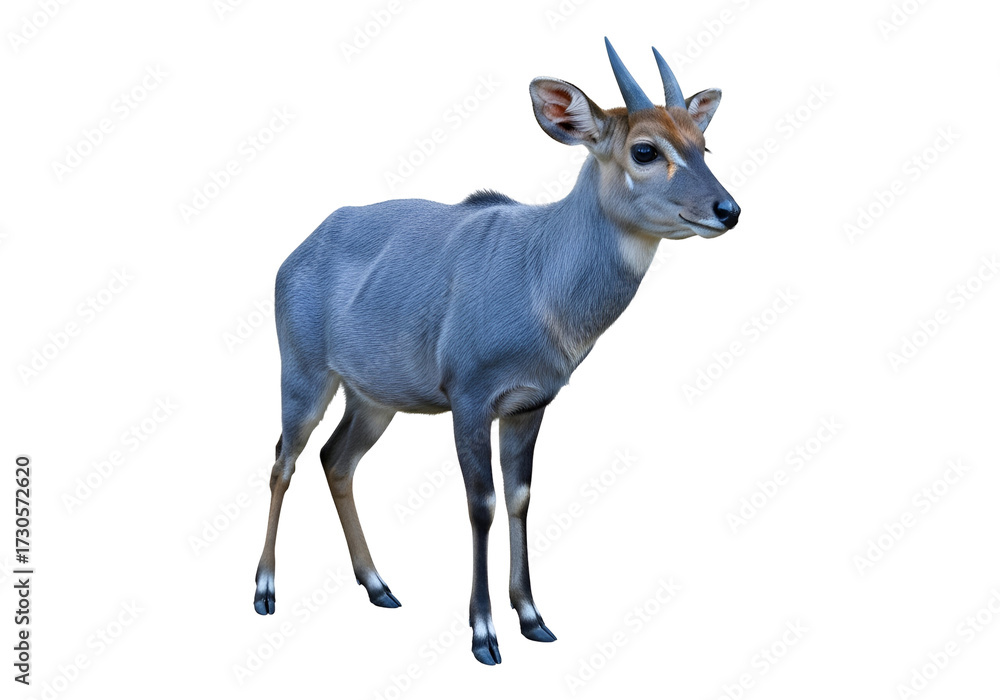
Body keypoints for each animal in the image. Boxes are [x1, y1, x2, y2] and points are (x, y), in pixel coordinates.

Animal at [253, 38, 740, 665]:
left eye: (703, 143)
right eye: (645, 149)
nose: (727, 210)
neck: (540, 275)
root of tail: (298, 250)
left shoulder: (528, 405)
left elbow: (519, 497)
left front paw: (533, 617)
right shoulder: (469, 397)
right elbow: (480, 501)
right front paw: (484, 635)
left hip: (373, 399)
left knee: (336, 459)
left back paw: (380, 586)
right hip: (304, 374)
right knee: (283, 460)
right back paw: (265, 591)